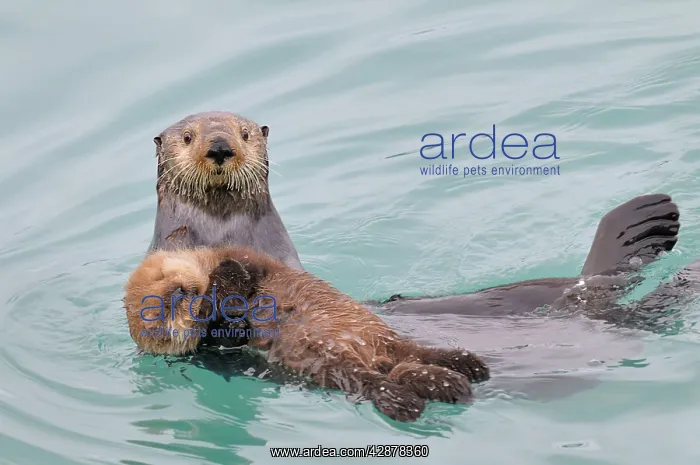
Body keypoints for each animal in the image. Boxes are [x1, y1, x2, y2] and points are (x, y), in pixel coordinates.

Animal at [123, 247, 490, 422]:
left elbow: (239, 271)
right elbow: (226, 334)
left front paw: (222, 284)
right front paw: (216, 308)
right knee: (381, 380)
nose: (182, 292)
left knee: (411, 354)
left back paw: (464, 366)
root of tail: (377, 358)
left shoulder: (248, 259)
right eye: (166, 312)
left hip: (379, 337)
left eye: (165, 278)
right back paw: (415, 397)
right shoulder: (214, 350)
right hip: (337, 369)